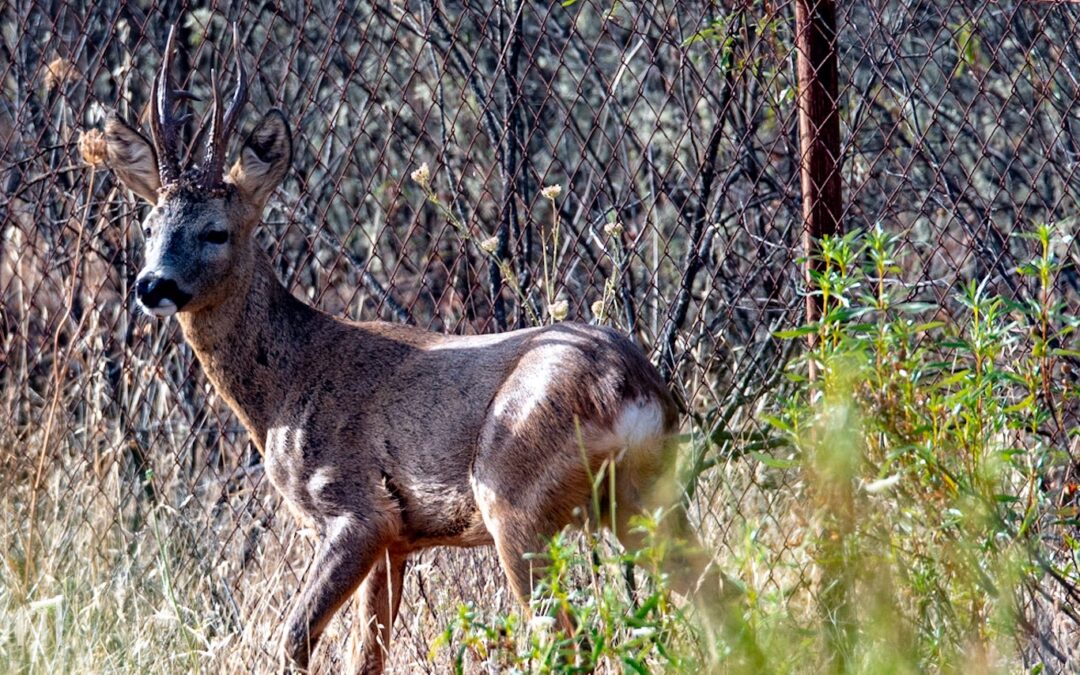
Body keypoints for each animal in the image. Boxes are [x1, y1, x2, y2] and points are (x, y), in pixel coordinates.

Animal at [103, 23, 725, 669]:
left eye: (215, 231)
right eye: (147, 226)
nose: (151, 285)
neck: (284, 389)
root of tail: (635, 389)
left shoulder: (357, 511)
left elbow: (294, 639)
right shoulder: (398, 541)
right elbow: (366, 657)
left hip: (516, 500)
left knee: (565, 637)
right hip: (647, 501)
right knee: (720, 597)